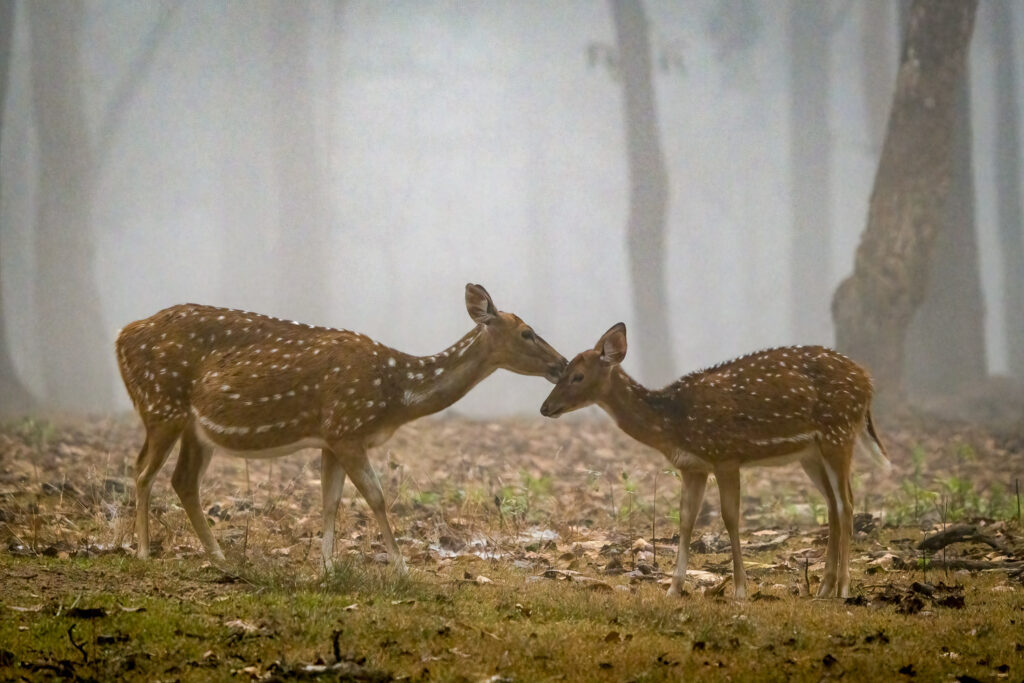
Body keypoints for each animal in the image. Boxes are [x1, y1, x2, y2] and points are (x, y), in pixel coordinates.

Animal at [116, 284, 566, 571]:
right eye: (527, 332)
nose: (561, 363)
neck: (396, 394)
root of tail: (121, 337)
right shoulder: (348, 427)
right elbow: (377, 498)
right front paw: (401, 570)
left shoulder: (330, 438)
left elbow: (330, 501)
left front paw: (327, 568)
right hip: (161, 404)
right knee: (142, 472)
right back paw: (142, 552)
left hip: (195, 428)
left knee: (181, 480)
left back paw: (219, 557)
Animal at [540, 323, 888, 599]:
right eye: (562, 372)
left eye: (577, 376)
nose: (545, 407)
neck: (672, 423)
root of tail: (868, 383)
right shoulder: (692, 466)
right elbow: (685, 520)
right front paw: (673, 588)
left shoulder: (726, 455)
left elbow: (730, 517)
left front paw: (740, 590)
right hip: (811, 453)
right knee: (832, 504)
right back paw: (824, 587)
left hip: (838, 432)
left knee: (846, 504)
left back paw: (843, 588)